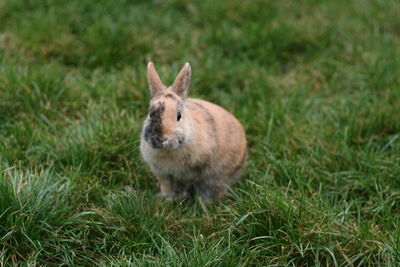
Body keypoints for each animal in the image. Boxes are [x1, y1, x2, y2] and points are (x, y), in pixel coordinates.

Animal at [141, 62, 247, 203]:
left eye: (179, 116)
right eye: (150, 114)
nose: (162, 138)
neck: (168, 150)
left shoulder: (190, 172)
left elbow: (181, 186)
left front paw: (176, 199)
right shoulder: (161, 172)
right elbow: (166, 186)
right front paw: (166, 199)